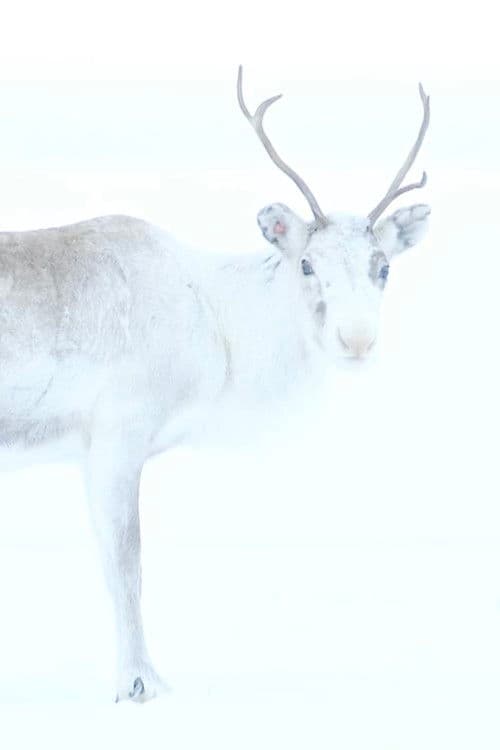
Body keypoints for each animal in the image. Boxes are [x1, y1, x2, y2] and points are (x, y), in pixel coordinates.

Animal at [0, 67, 431, 703]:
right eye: (307, 263)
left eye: (385, 267)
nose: (356, 339)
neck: (215, 320)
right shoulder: (116, 435)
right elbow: (125, 563)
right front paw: (139, 682)